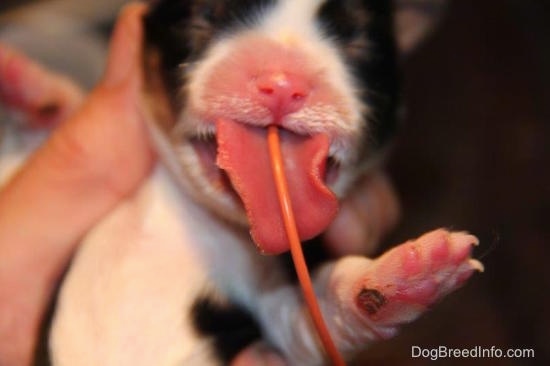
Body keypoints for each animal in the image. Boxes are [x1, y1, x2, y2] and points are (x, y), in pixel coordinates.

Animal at [1, 0, 484, 366]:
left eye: (356, 39)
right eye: (206, 14)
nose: (283, 84)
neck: (192, 215)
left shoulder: (267, 312)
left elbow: (312, 315)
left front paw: (401, 279)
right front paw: (33, 95)